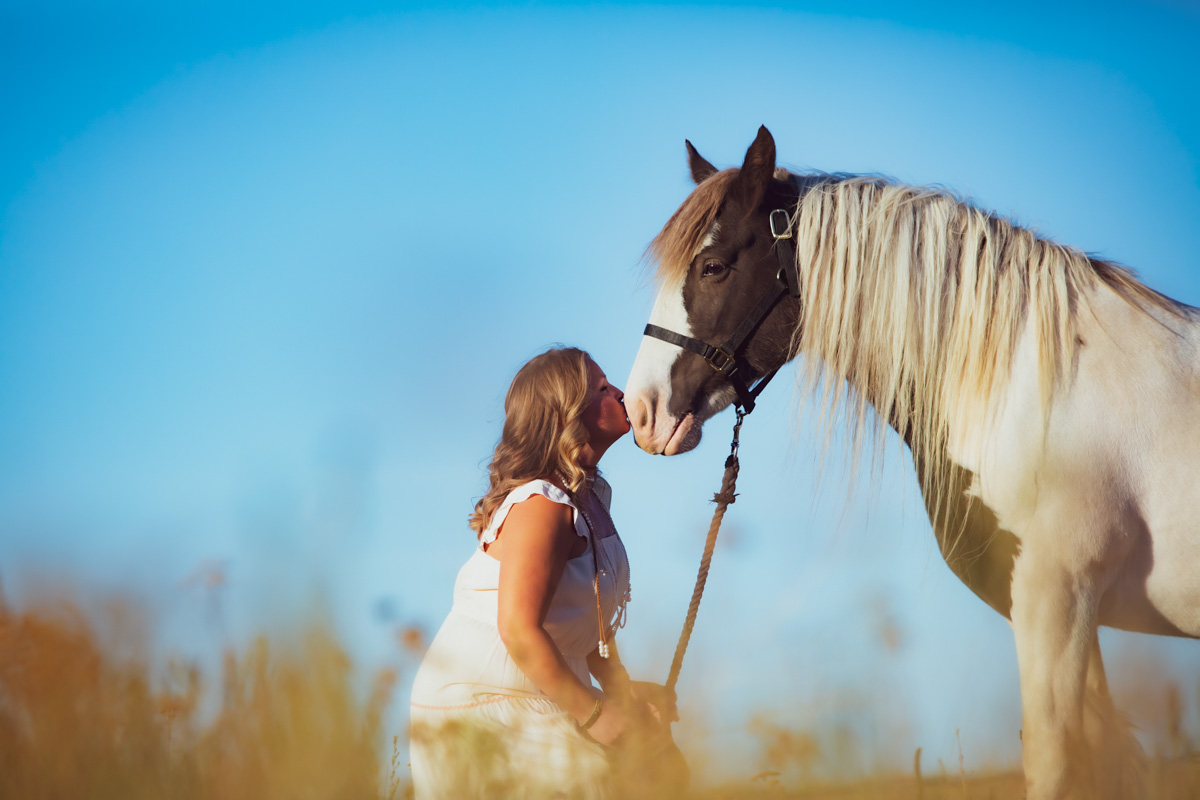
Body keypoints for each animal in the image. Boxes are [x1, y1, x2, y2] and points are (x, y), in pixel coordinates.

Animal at [624, 126, 1199, 800]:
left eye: (712, 267)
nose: (640, 412)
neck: (1027, 382)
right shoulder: (1071, 614)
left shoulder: (1057, 597)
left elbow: (1053, 762)